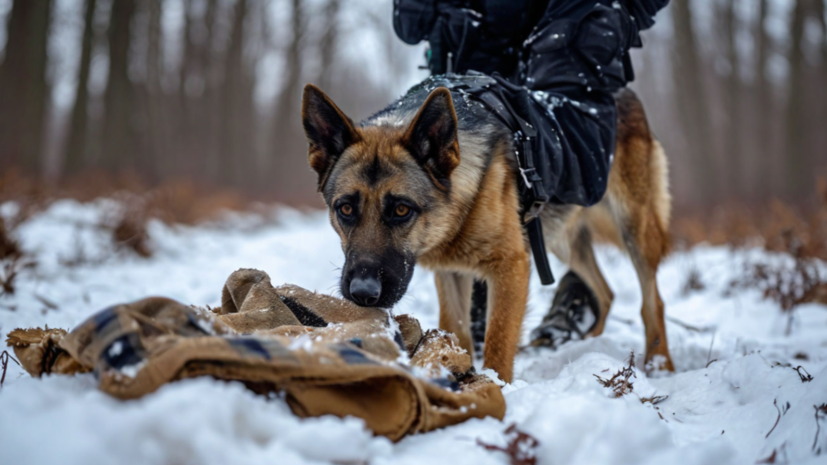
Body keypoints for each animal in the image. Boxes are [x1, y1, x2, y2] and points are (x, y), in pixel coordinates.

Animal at [304, 80, 672, 384]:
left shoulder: (511, 267)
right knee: (605, 292)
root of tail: (622, 90)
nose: (363, 294)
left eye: (401, 210)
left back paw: (659, 364)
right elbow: (457, 330)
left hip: (634, 228)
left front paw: (498, 387)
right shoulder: (451, 273)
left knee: (652, 300)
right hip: (560, 240)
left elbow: (498, 341)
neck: (461, 203)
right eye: (345, 209)